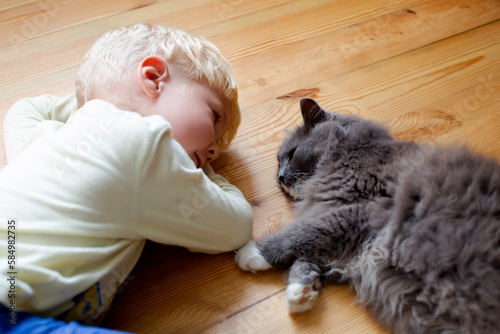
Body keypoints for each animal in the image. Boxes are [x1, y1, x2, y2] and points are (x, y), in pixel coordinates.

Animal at [236, 98, 500, 334]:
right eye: (278, 165)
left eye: (291, 154)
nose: (280, 177)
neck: (353, 152)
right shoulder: (351, 240)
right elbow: (307, 254)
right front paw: (302, 292)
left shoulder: (360, 212)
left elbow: (302, 234)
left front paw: (253, 253)